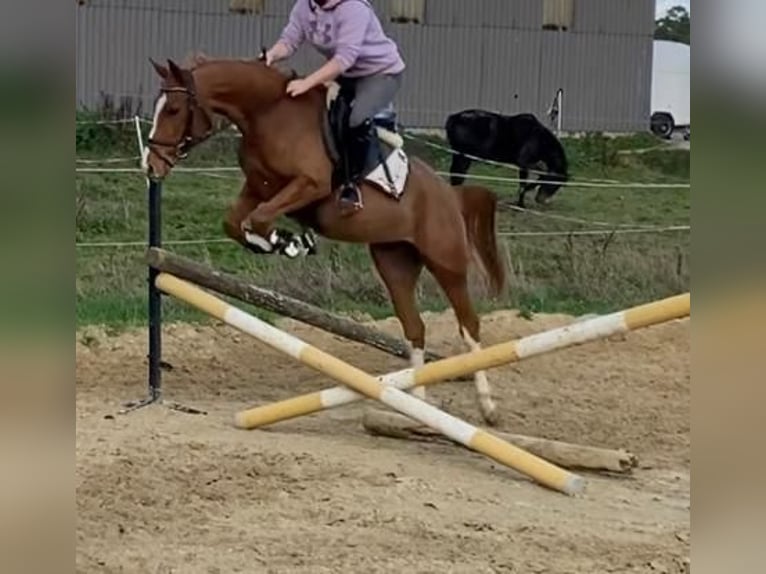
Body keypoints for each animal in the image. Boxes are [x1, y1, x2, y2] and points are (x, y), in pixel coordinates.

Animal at [142, 57, 510, 428]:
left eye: (173, 109)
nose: (152, 165)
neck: (268, 113)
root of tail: (450, 194)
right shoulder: (259, 188)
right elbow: (236, 222)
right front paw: (275, 241)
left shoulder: (308, 185)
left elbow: (258, 218)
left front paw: (291, 242)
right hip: (395, 262)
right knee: (414, 328)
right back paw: (420, 407)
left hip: (446, 261)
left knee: (469, 326)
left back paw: (488, 408)